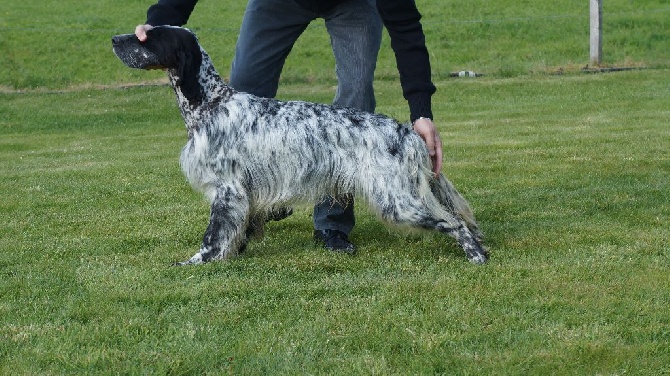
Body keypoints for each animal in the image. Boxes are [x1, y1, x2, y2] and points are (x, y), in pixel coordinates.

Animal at [113, 25, 490, 264]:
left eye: (147, 38)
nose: (115, 39)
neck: (211, 103)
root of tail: (407, 132)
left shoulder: (227, 189)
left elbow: (213, 235)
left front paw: (196, 262)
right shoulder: (243, 194)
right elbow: (235, 231)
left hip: (395, 200)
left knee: (454, 223)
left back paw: (477, 257)